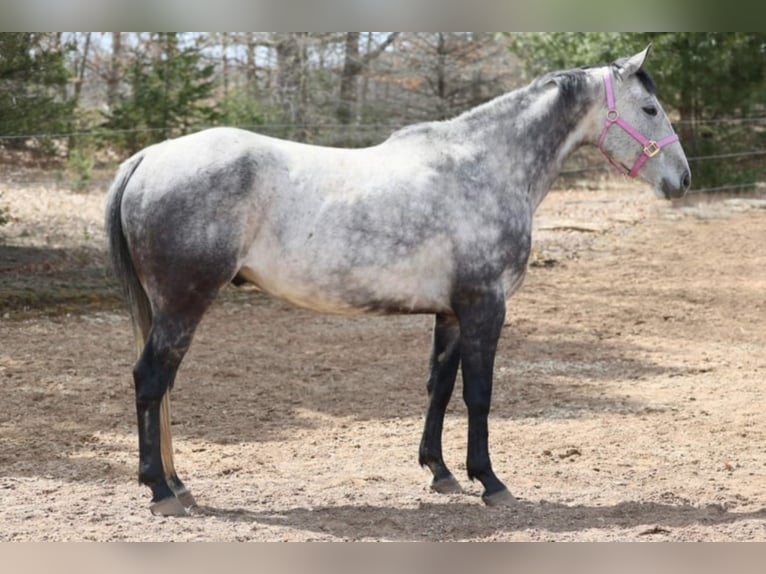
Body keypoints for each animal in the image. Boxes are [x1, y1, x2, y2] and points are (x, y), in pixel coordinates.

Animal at [106, 44, 688, 512]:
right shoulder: (485, 306)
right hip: (183, 303)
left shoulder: (452, 312)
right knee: (150, 381)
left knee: (163, 388)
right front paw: (490, 481)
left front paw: (441, 472)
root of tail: (147, 158)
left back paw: (178, 484)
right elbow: (479, 394)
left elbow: (439, 387)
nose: (682, 179)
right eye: (650, 108)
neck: (487, 166)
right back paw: (160, 490)